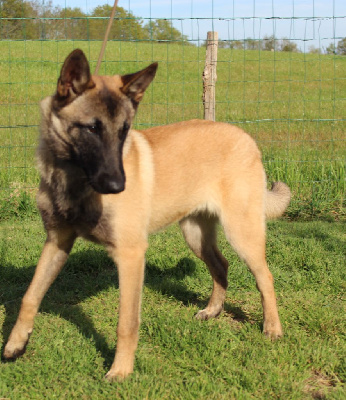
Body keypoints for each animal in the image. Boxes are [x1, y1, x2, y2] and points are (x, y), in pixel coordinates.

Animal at [2, 48, 290, 380]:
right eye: (91, 128)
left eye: (124, 131)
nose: (118, 185)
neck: (73, 178)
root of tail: (246, 137)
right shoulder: (56, 242)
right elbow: (30, 295)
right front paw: (15, 343)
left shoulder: (130, 255)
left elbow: (126, 323)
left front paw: (121, 371)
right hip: (195, 233)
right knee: (221, 265)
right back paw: (213, 310)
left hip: (241, 232)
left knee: (265, 276)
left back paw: (272, 328)